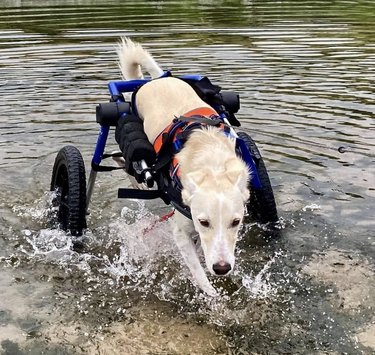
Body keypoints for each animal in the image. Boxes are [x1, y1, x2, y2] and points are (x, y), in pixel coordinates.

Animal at [117, 38, 250, 298]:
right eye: (204, 222)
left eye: (236, 222)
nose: (222, 268)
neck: (212, 164)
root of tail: (157, 80)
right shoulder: (180, 232)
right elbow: (197, 270)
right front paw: (211, 294)